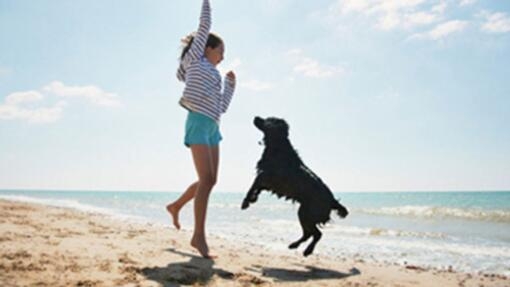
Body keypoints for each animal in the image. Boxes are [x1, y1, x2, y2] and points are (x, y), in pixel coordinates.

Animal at [241, 117, 348, 256]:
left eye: (268, 120)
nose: (256, 117)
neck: (278, 146)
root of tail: (332, 201)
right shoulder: (266, 180)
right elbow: (256, 187)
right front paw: (253, 199)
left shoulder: (266, 177)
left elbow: (253, 184)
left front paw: (246, 201)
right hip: (304, 213)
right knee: (309, 234)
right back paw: (294, 245)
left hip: (307, 213)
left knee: (317, 234)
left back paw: (307, 250)